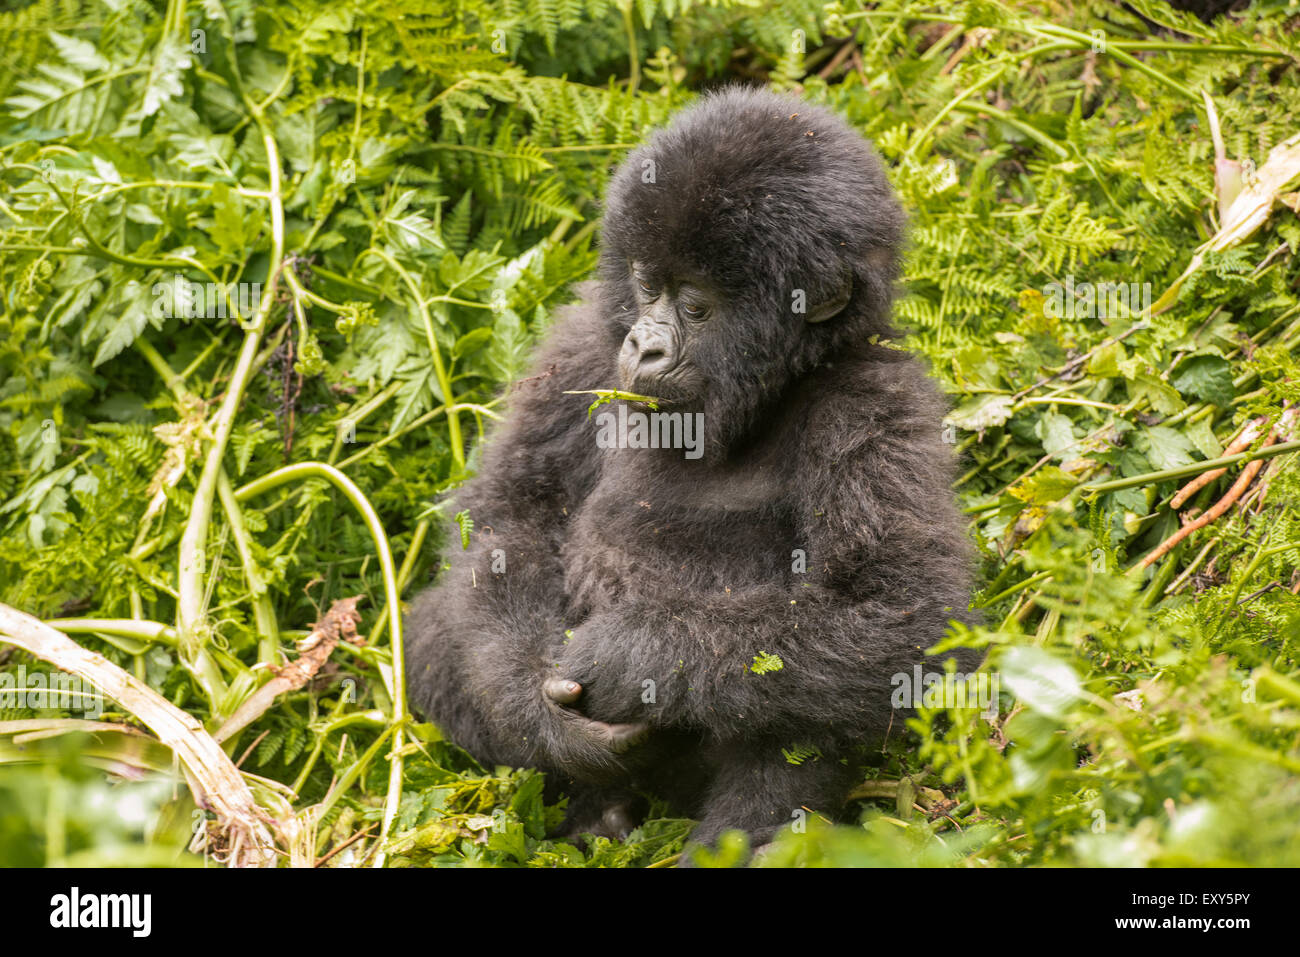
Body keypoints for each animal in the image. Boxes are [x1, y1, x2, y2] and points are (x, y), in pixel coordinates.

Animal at [408, 85, 977, 852]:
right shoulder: (585, 342)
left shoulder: (874, 397)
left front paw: (629, 656)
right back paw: (596, 807)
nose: (645, 346)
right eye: (648, 287)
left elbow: (903, 608)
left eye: (697, 305)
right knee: (438, 631)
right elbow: (512, 512)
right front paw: (538, 707)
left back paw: (741, 836)